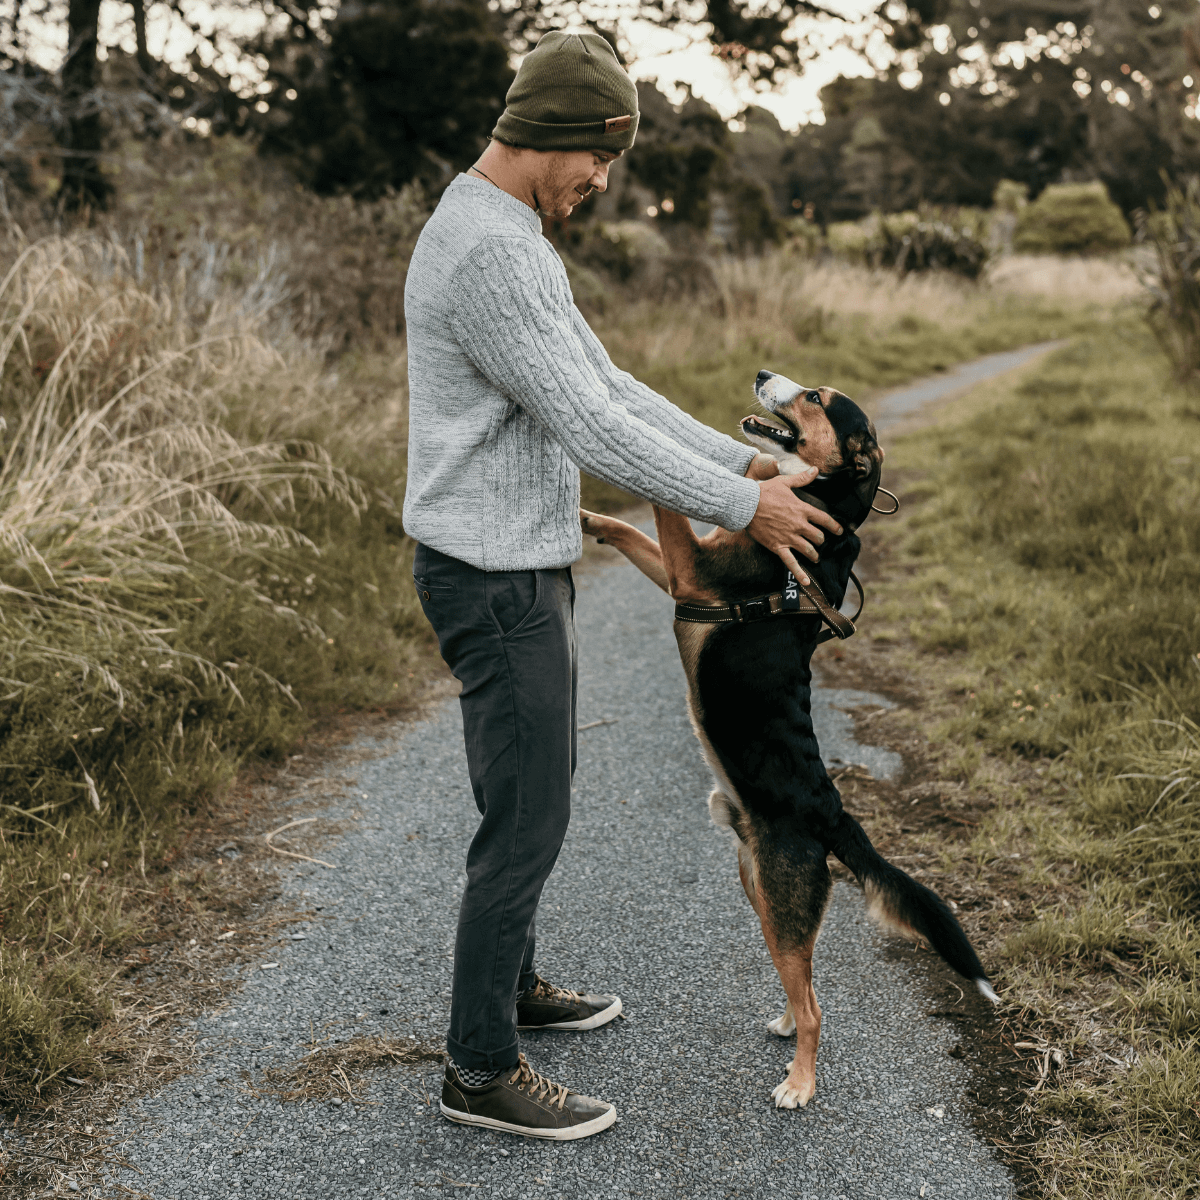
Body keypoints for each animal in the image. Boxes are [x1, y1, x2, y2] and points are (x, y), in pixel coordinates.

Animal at [578, 369, 993, 1108]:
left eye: (817, 398)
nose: (761, 374)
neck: (827, 511)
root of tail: (835, 816)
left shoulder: (692, 573)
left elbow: (670, 509)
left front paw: (753, 470)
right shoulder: (683, 578)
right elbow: (637, 531)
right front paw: (594, 521)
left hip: (780, 898)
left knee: (817, 1008)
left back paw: (800, 1083)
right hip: (761, 893)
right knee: (801, 983)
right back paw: (784, 1024)